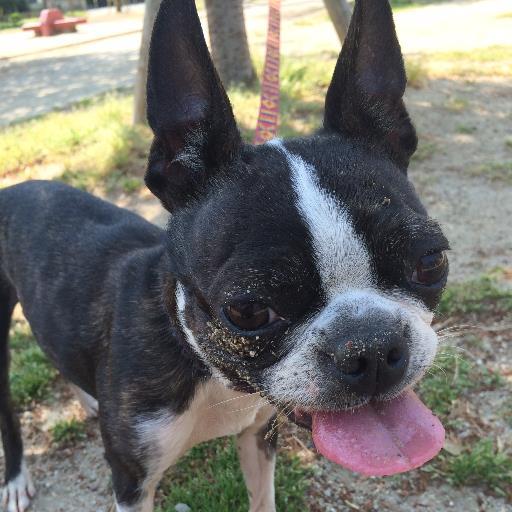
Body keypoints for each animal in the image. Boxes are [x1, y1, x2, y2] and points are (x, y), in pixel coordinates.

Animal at [0, 0, 448, 510]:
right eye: (249, 310)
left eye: (431, 263)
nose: (370, 346)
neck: (204, 368)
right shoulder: (133, 482)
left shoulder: (259, 435)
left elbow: (262, 498)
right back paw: (16, 478)